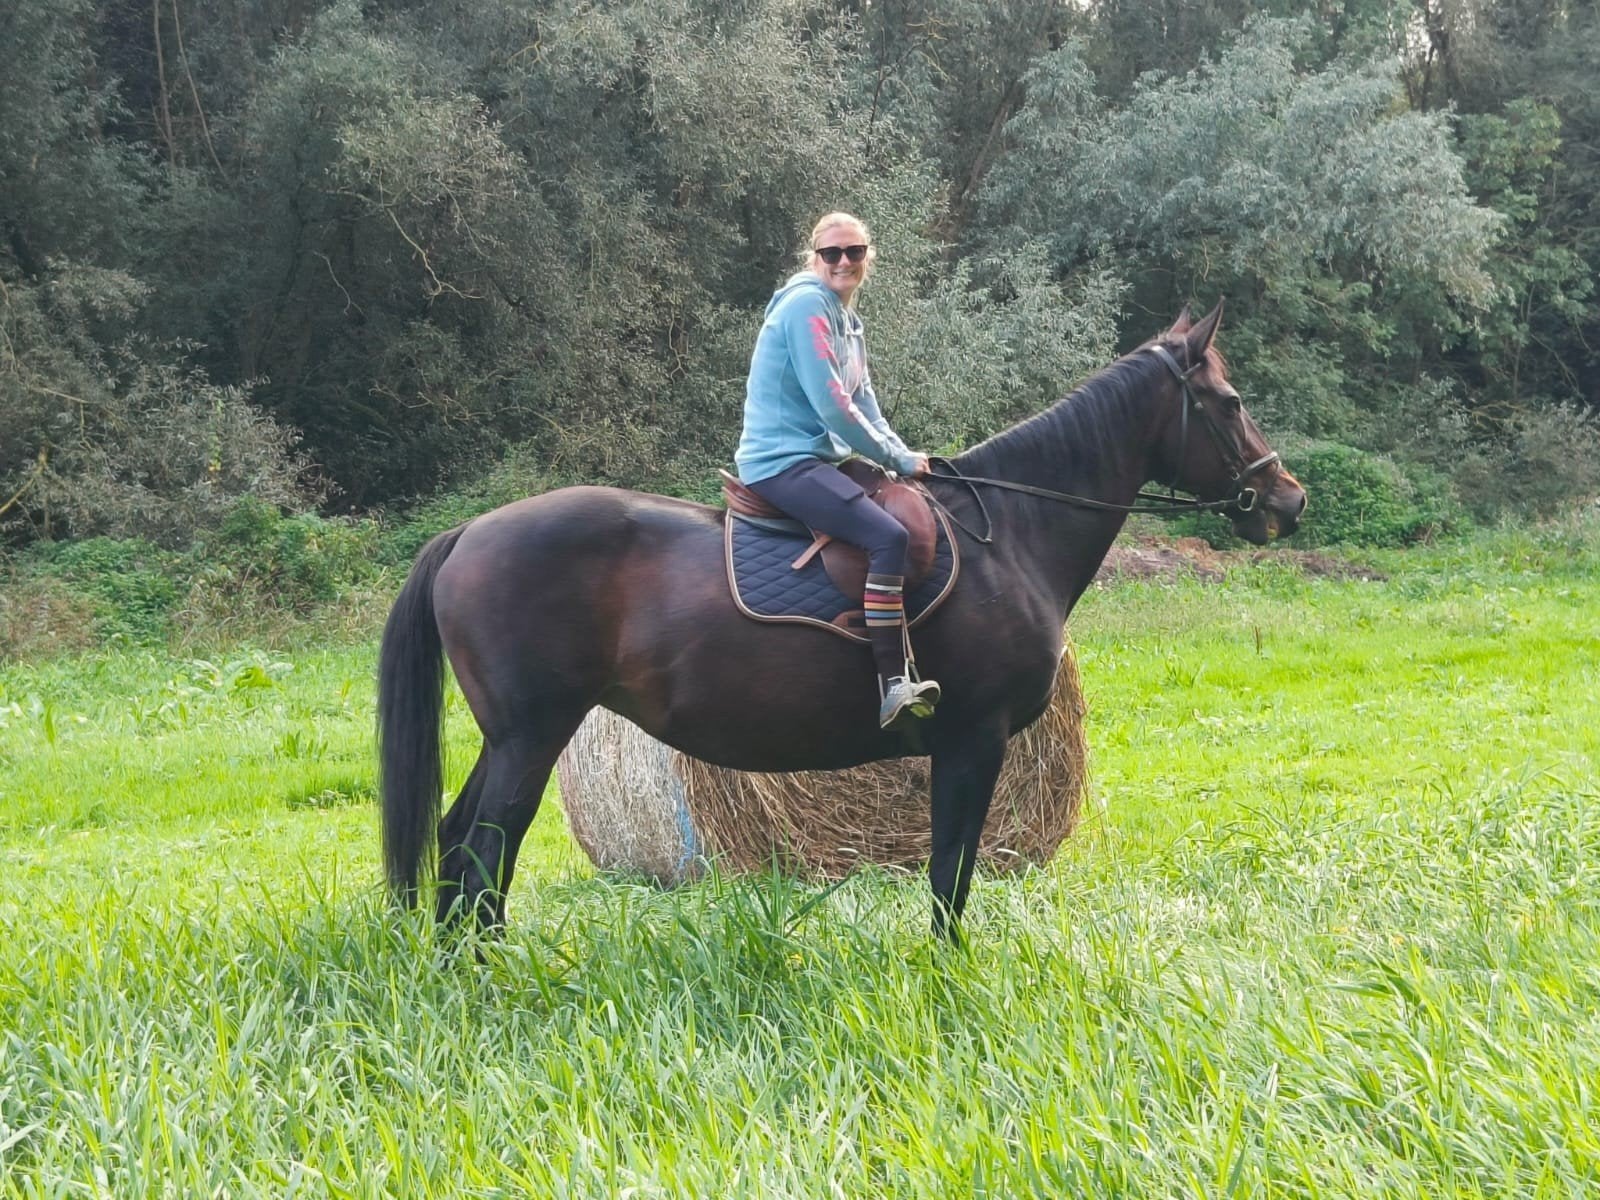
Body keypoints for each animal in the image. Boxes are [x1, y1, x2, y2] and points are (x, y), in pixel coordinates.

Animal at [377, 302, 1306, 941]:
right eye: (1228, 401)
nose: (1287, 499)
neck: (1012, 530)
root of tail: (470, 533)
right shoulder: (975, 738)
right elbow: (950, 875)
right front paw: (948, 974)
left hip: (516, 737)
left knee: (460, 842)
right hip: (532, 734)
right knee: (483, 848)